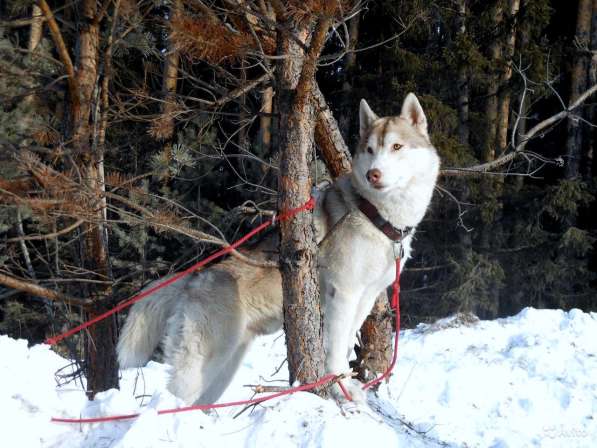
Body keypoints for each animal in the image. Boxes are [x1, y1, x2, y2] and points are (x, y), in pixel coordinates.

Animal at [117, 92, 438, 406]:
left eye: (396, 146)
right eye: (370, 150)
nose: (373, 174)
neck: (375, 215)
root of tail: (193, 278)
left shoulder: (366, 296)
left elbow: (346, 343)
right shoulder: (343, 294)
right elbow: (336, 351)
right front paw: (340, 387)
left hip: (224, 368)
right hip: (199, 365)